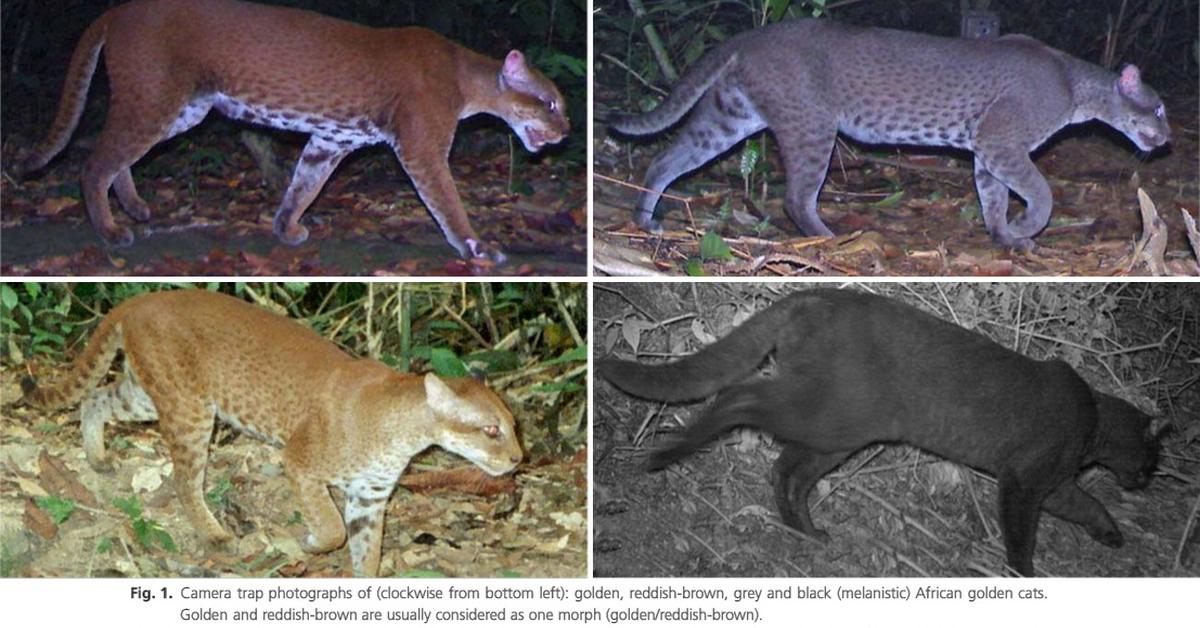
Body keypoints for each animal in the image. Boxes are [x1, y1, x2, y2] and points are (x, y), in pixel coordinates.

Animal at [19, 0, 571, 261]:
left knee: (122, 157)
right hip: (156, 97)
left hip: (185, 108)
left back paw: (135, 207)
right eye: (551, 103)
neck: (467, 76)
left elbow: (303, 185)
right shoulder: (422, 147)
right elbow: (448, 203)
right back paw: (112, 230)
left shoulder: (331, 140)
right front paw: (478, 247)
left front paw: (287, 228)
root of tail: (117, 10)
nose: (566, 131)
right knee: (95, 162)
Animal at [21, 289, 523, 573]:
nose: (520, 458)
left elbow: (367, 554)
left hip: (148, 394)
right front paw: (309, 542)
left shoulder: (370, 497)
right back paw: (215, 534)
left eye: (513, 426)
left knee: (94, 397)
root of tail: (141, 298)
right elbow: (332, 528)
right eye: (490, 430)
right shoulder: (301, 463)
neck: (405, 432)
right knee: (185, 480)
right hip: (189, 409)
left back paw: (96, 455)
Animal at [600, 289, 1161, 573]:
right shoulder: (1025, 481)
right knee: (741, 399)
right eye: (1153, 462)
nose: (1146, 481)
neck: (1096, 420)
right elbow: (1023, 533)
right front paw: (1023, 572)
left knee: (787, 470)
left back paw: (806, 530)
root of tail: (810, 296)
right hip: (830, 413)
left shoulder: (1056, 485)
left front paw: (1111, 532)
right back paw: (667, 454)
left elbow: (1088, 503)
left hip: (840, 431)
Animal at [614, 20, 1166, 250]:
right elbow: (1041, 192)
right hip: (812, 124)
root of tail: (753, 34)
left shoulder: (988, 150)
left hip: (729, 117)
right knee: (795, 197)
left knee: (665, 158)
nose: (1167, 137)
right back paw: (832, 239)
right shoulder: (1002, 143)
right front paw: (1027, 228)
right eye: (1159, 107)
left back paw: (645, 222)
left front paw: (1006, 238)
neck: (1076, 86)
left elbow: (992, 199)